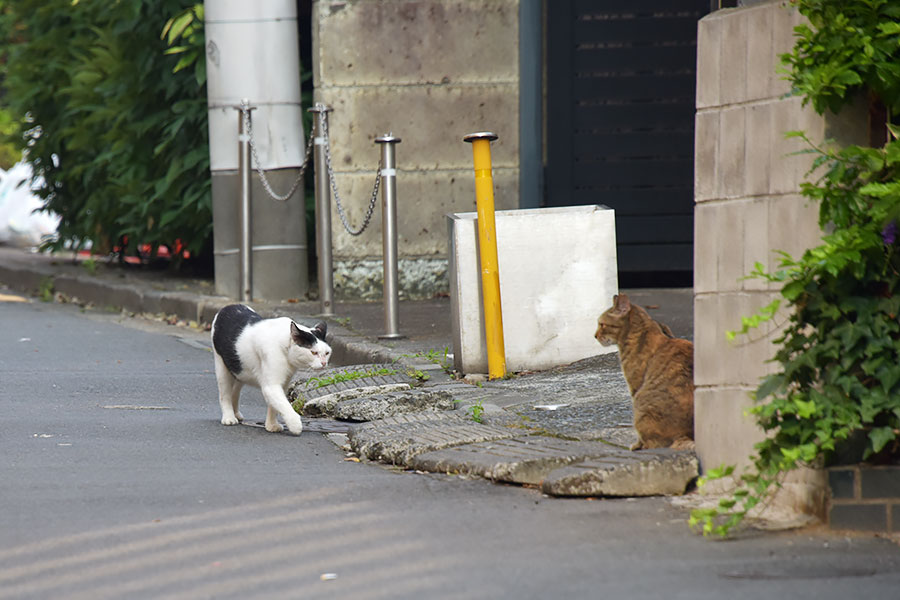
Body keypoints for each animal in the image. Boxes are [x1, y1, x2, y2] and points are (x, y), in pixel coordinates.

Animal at [211, 304, 330, 436]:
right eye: (313, 352)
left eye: (327, 353)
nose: (324, 363)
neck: (284, 347)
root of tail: (228, 306)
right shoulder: (271, 386)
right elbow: (284, 405)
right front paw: (295, 426)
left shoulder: (282, 384)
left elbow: (275, 406)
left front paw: (271, 425)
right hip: (222, 368)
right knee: (225, 395)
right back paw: (229, 417)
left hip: (239, 371)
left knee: (235, 392)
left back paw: (236, 413)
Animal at [596, 292, 696, 452]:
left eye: (602, 324)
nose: (595, 335)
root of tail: (684, 435)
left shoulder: (635, 386)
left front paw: (636, 445)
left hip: (640, 403)